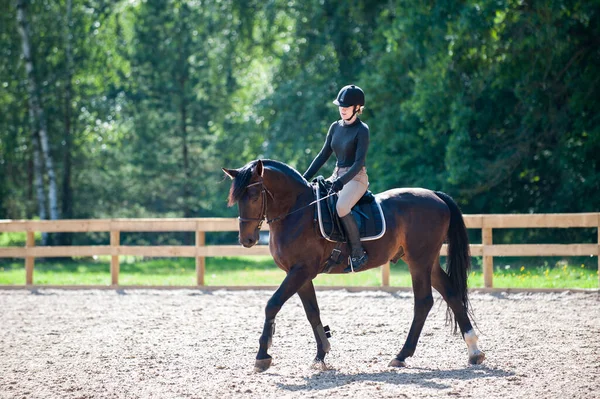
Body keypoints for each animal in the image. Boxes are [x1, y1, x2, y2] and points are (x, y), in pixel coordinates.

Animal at [223, 159, 486, 372]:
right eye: (235, 199)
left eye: (254, 196)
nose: (247, 240)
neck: (297, 211)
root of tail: (435, 195)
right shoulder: (299, 274)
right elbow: (312, 312)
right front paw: (321, 355)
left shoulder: (301, 270)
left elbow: (272, 304)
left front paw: (262, 356)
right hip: (427, 263)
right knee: (452, 294)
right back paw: (474, 351)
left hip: (419, 262)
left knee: (423, 302)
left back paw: (401, 355)